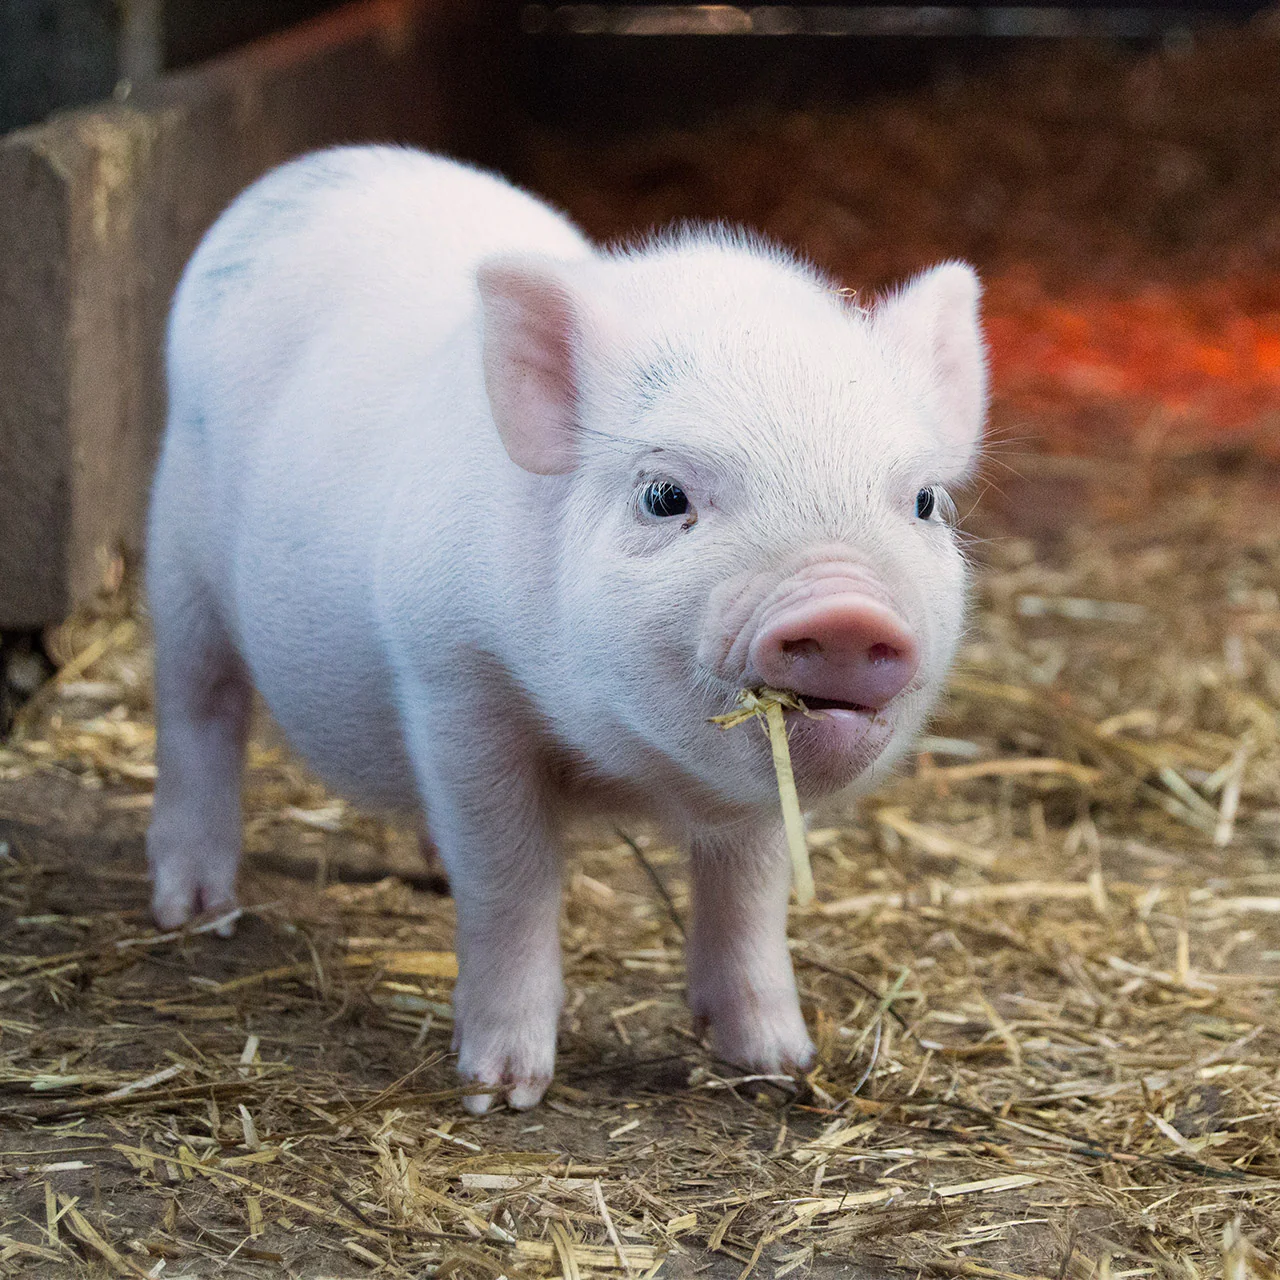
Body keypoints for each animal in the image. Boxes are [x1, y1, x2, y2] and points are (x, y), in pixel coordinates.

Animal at [146, 145, 987, 1113]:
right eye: (664, 495)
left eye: (924, 501)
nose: (845, 610)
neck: (625, 769)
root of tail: (310, 169)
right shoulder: (452, 678)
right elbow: (510, 880)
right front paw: (501, 1092)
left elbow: (749, 891)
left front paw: (779, 1065)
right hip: (177, 554)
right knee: (199, 707)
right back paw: (193, 912)